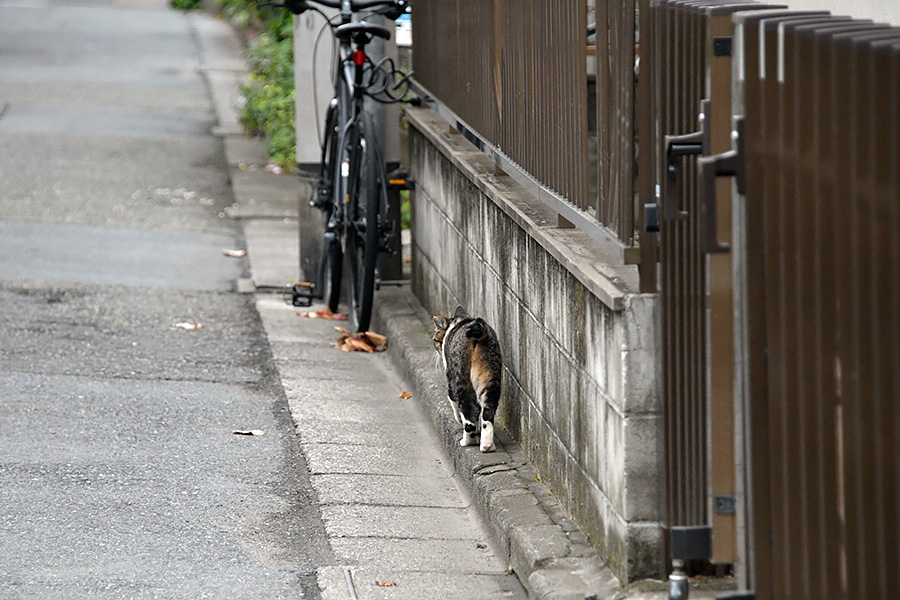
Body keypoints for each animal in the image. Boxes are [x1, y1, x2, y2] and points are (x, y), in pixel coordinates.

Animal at [432, 308, 502, 452]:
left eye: (436, 340)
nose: (437, 350)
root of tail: (479, 331)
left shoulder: (450, 377)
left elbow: (453, 402)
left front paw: (460, 421)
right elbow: (478, 412)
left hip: (461, 378)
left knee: (468, 416)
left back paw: (467, 441)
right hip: (490, 375)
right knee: (487, 413)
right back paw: (487, 445)